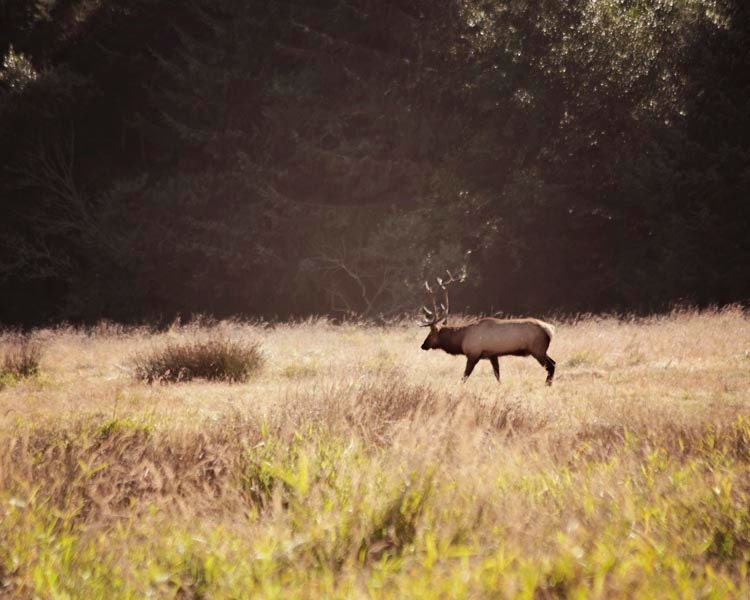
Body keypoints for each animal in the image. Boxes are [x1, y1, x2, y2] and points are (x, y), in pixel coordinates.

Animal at [419, 272, 556, 385]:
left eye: (430, 333)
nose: (423, 345)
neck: (461, 340)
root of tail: (550, 330)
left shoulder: (473, 354)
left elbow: (464, 376)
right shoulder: (492, 355)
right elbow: (497, 375)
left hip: (537, 349)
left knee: (551, 366)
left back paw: (547, 385)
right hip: (541, 350)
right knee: (554, 362)